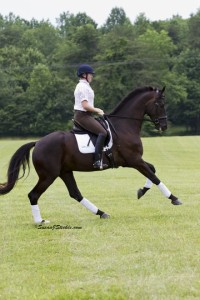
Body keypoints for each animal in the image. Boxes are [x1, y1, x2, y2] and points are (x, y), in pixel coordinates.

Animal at [0, 85, 182, 224]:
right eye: (160, 103)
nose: (164, 126)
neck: (124, 126)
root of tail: (37, 143)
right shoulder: (134, 160)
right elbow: (154, 176)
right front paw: (174, 198)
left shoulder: (133, 160)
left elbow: (153, 170)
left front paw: (141, 191)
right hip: (49, 175)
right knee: (34, 194)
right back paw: (40, 221)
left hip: (65, 172)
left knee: (75, 193)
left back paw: (101, 213)